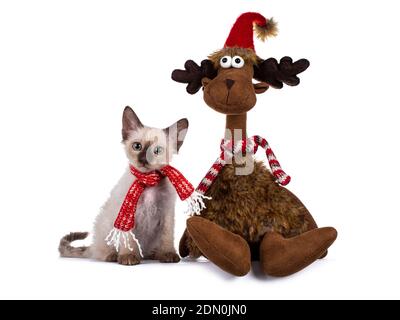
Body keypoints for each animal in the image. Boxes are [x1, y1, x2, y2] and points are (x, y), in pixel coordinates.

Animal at [59, 106, 189, 264]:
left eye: (157, 151)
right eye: (137, 146)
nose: (144, 159)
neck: (148, 180)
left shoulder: (167, 213)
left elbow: (167, 236)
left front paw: (168, 254)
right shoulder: (129, 213)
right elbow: (128, 239)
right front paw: (128, 256)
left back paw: (154, 254)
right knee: (100, 251)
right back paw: (113, 256)